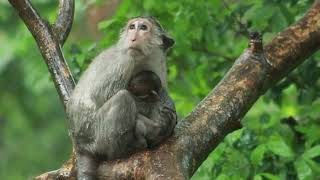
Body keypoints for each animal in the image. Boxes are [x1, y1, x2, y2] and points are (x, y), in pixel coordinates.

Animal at [67, 16, 176, 180]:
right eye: (132, 27)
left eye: (143, 27)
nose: (133, 37)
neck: (143, 58)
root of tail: (80, 145)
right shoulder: (124, 61)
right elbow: (103, 94)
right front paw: (162, 124)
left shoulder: (159, 65)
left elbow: (160, 89)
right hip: (95, 134)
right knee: (123, 98)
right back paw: (129, 147)